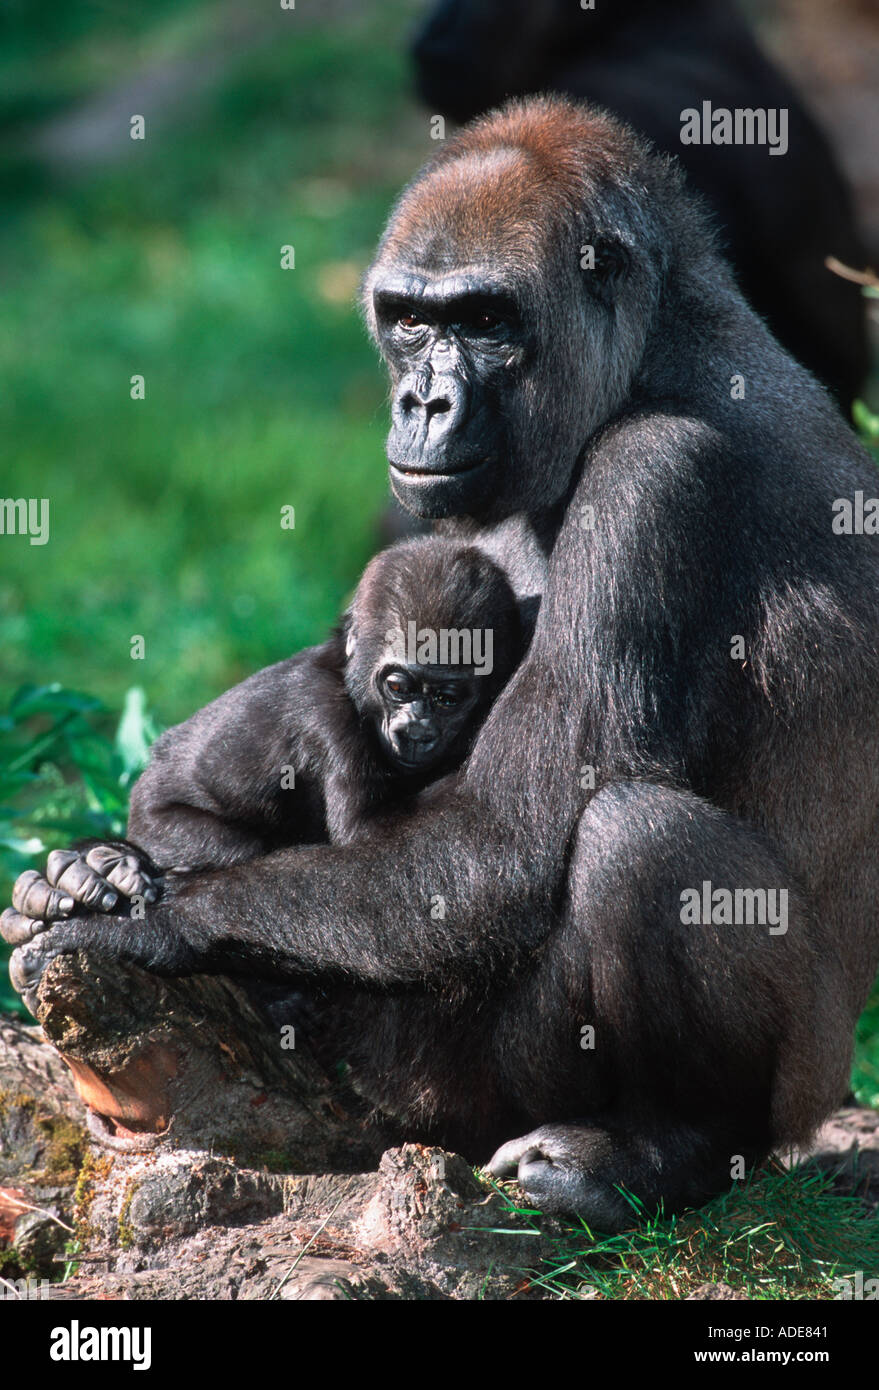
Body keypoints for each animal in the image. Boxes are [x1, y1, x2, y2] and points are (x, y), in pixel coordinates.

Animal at [6, 97, 879, 1229]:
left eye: (486, 322)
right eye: (410, 321)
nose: (423, 403)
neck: (657, 351)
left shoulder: (661, 473)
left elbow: (500, 841)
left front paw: (152, 926)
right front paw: (86, 869)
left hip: (734, 1085)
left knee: (639, 843)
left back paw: (663, 1148)